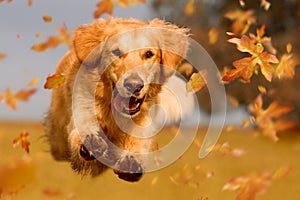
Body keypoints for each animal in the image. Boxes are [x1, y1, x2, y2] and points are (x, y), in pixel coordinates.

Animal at [44, 18, 190, 182]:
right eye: (117, 52)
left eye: (149, 54)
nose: (133, 85)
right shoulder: (82, 107)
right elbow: (84, 125)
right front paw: (92, 141)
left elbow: (138, 143)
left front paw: (131, 161)